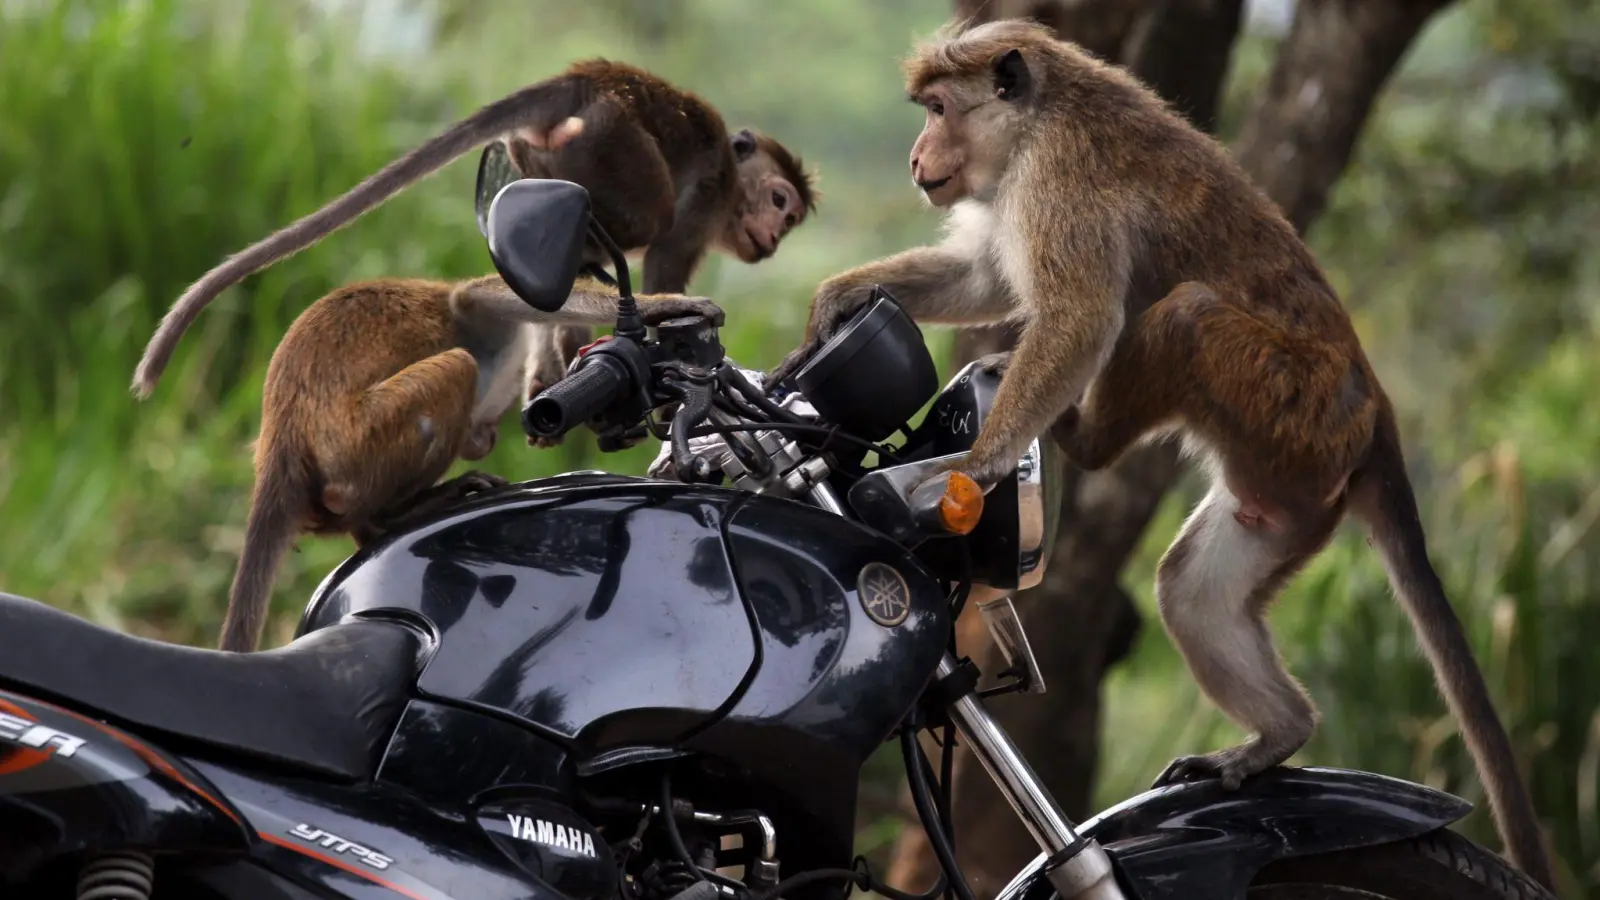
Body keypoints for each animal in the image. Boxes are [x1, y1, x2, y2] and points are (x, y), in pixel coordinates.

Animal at [128, 57, 812, 400]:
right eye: (778, 200)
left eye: (791, 218)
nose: (776, 236)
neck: (733, 180)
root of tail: (586, 79)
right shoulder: (706, 202)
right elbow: (665, 266)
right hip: (617, 140)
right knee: (647, 211)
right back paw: (530, 160)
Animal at [211, 267, 720, 650]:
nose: (486, 436)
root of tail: (282, 439)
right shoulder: (477, 314)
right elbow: (484, 295)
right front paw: (662, 306)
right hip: (362, 444)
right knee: (456, 366)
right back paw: (392, 517)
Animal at [768, 17, 1555, 883]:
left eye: (939, 109)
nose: (917, 155)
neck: (1035, 122)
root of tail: (1375, 405)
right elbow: (983, 278)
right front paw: (838, 299)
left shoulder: (1058, 179)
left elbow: (1078, 317)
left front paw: (975, 467)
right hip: (1290, 492)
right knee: (1193, 592)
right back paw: (1278, 735)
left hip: (1292, 406)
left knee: (1185, 316)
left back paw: (1083, 438)